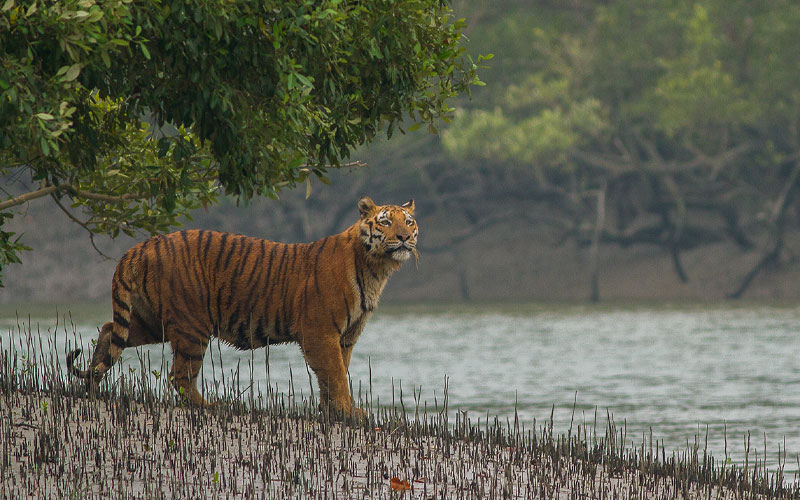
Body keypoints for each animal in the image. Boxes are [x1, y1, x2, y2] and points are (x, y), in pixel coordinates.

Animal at [67, 196, 418, 416]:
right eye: (385, 222)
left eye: (409, 222)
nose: (403, 237)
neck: (376, 268)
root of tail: (142, 245)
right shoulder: (321, 332)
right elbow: (335, 375)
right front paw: (348, 412)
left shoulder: (345, 336)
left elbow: (335, 374)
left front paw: (333, 411)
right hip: (192, 326)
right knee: (180, 375)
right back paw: (208, 406)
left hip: (152, 321)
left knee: (109, 330)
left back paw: (92, 386)